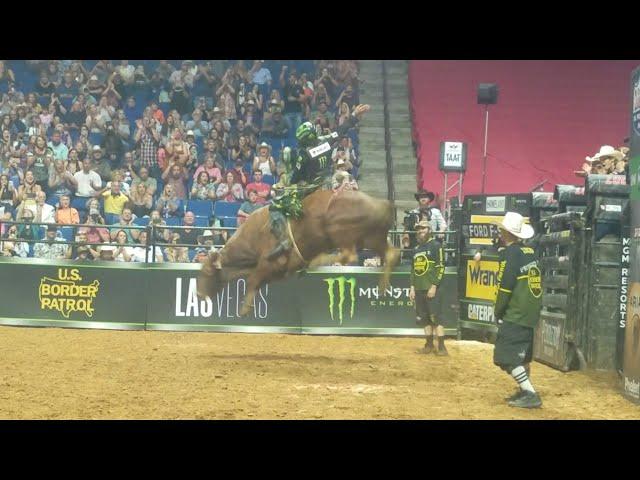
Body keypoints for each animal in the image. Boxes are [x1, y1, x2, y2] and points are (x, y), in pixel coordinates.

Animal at [196, 189, 400, 316]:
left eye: (206, 272)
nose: (198, 295)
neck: (252, 237)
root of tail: (381, 203)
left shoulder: (269, 263)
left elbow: (252, 280)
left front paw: (245, 308)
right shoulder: (275, 272)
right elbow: (255, 281)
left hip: (340, 231)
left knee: (349, 255)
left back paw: (316, 261)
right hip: (372, 238)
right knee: (391, 254)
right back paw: (382, 287)